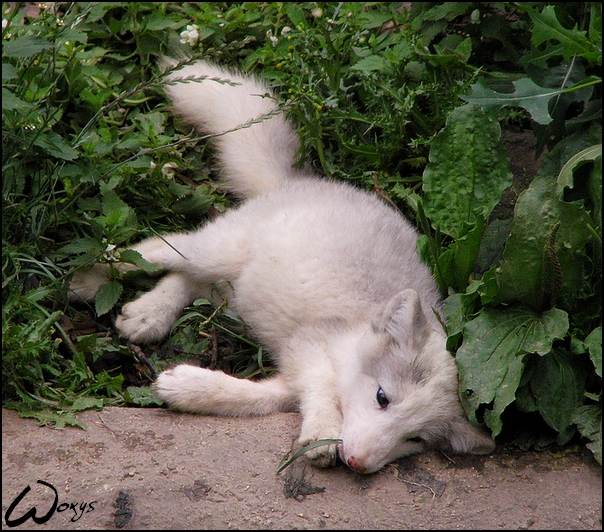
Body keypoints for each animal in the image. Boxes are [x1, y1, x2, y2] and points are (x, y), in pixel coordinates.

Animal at [71, 59, 496, 474]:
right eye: (382, 397)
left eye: (415, 439)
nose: (358, 464)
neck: (354, 334)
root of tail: (300, 179)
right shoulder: (306, 347)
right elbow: (321, 388)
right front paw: (323, 432)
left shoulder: (290, 376)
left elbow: (257, 399)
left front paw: (186, 388)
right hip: (216, 250)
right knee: (155, 249)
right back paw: (87, 277)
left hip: (236, 288)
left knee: (190, 280)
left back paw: (147, 315)